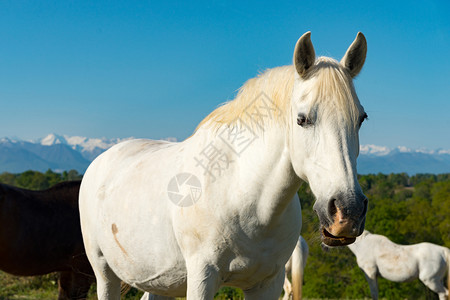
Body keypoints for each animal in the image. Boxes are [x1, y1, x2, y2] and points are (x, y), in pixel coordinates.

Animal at [80, 31, 370, 298]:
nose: (348, 212)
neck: (243, 196)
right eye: (302, 119)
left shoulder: (267, 282)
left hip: (161, 284)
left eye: (361, 119)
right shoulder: (202, 277)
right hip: (104, 273)